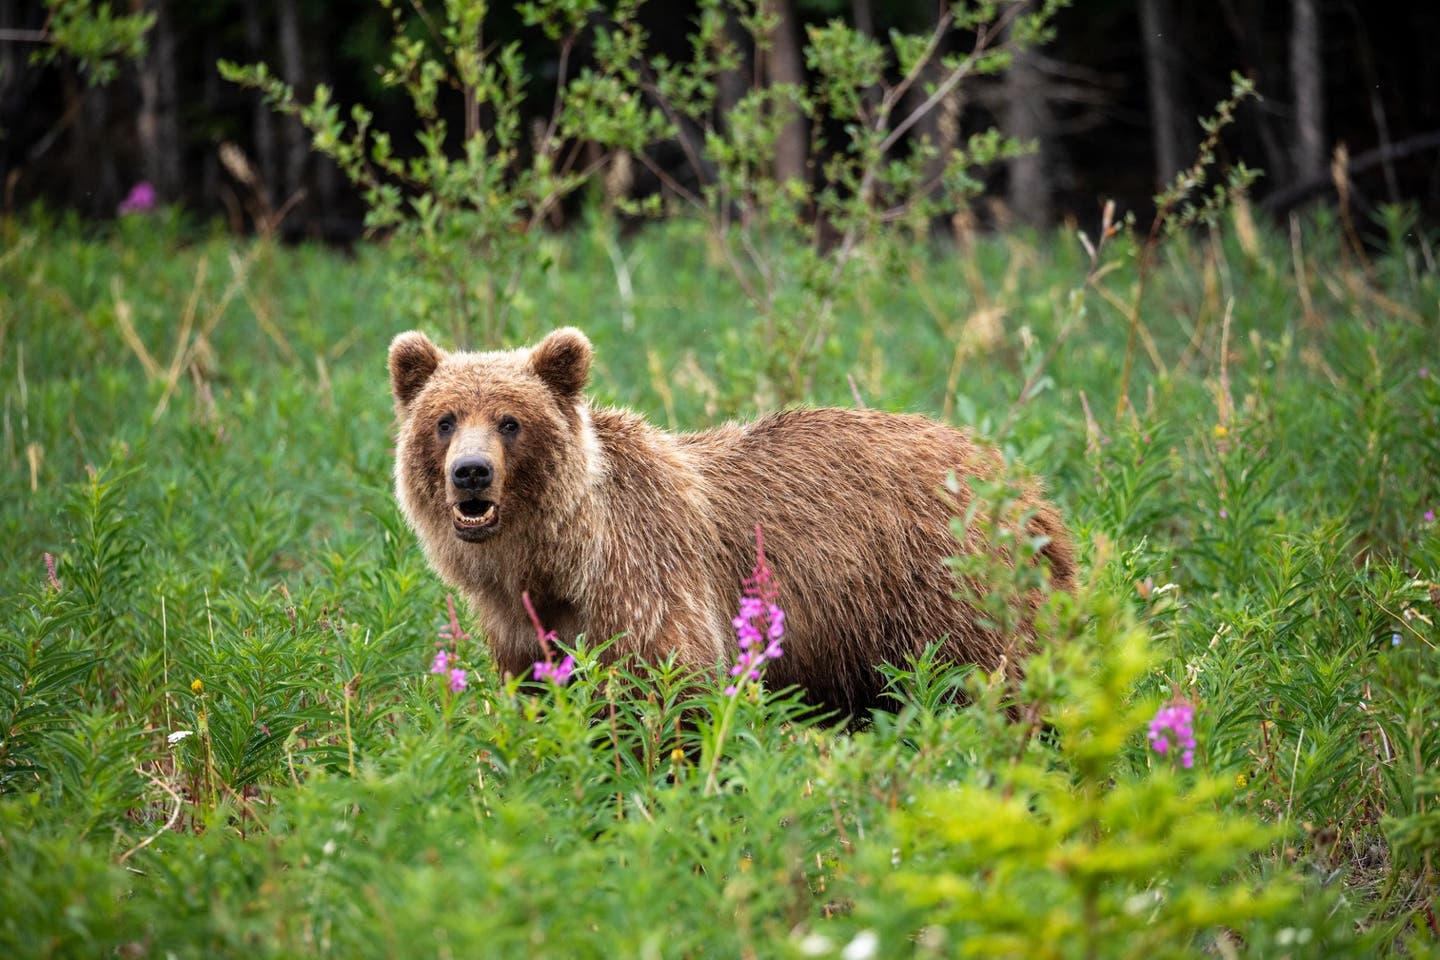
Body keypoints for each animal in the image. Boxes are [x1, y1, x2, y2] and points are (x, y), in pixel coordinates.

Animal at [388, 328, 1077, 713]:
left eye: (510, 420)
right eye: (445, 419)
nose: (471, 472)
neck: (558, 562)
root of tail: (1022, 482)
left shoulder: (646, 581)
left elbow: (669, 695)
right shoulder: (522, 631)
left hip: (945, 592)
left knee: (993, 680)